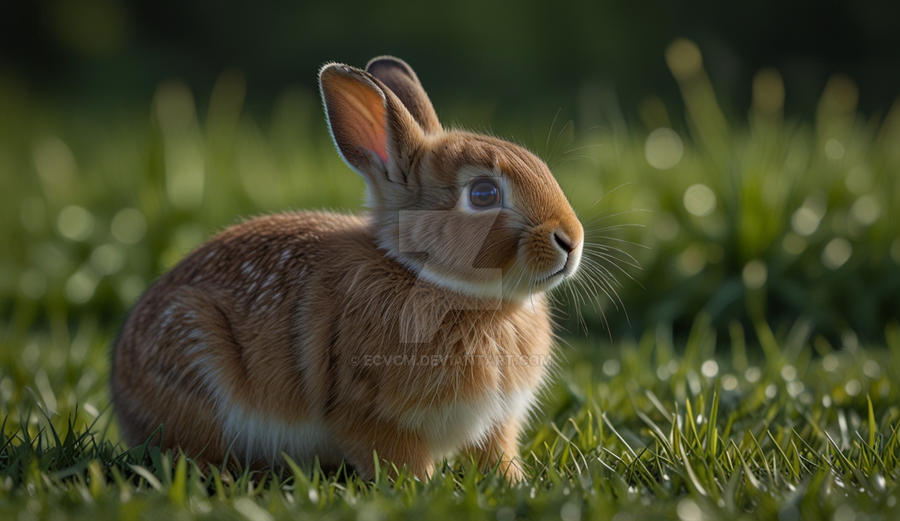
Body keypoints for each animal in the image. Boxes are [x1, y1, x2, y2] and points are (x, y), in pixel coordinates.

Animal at [111, 56, 584, 482]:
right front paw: (423, 489)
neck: (433, 281)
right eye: (484, 194)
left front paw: (513, 483)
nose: (571, 240)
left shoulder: (497, 423)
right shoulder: (370, 415)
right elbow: (400, 461)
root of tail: (123, 395)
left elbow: (497, 455)